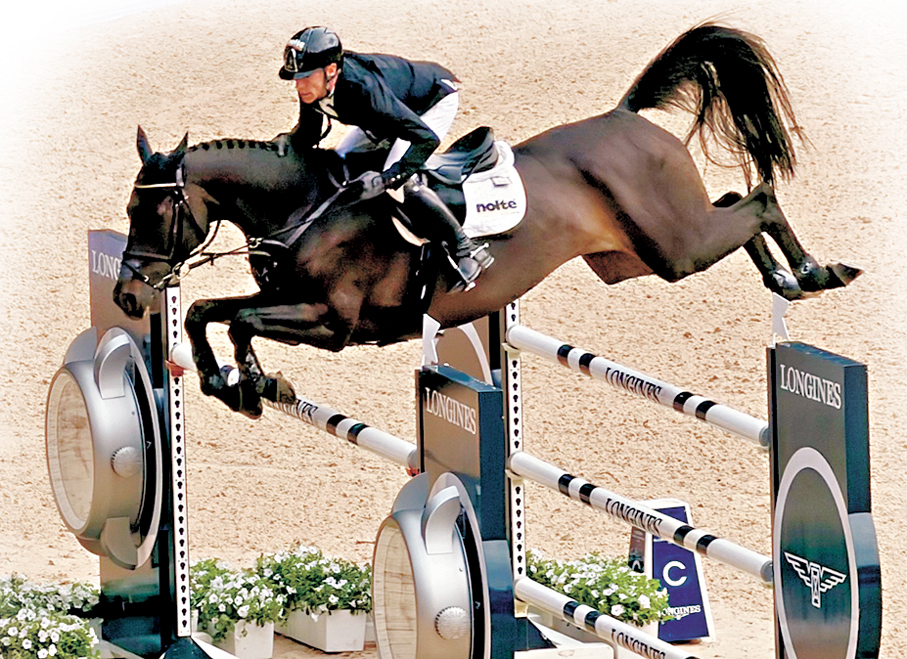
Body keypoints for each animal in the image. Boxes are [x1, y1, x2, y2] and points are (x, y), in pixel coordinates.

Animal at [114, 24, 861, 418]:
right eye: (128, 209)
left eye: (157, 209)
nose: (124, 295)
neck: (303, 209)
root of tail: (622, 116)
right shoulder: (283, 298)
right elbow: (204, 311)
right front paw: (224, 382)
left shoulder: (334, 323)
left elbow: (238, 320)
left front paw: (255, 383)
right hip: (640, 254)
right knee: (735, 203)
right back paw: (786, 280)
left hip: (673, 248)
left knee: (759, 198)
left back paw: (816, 272)